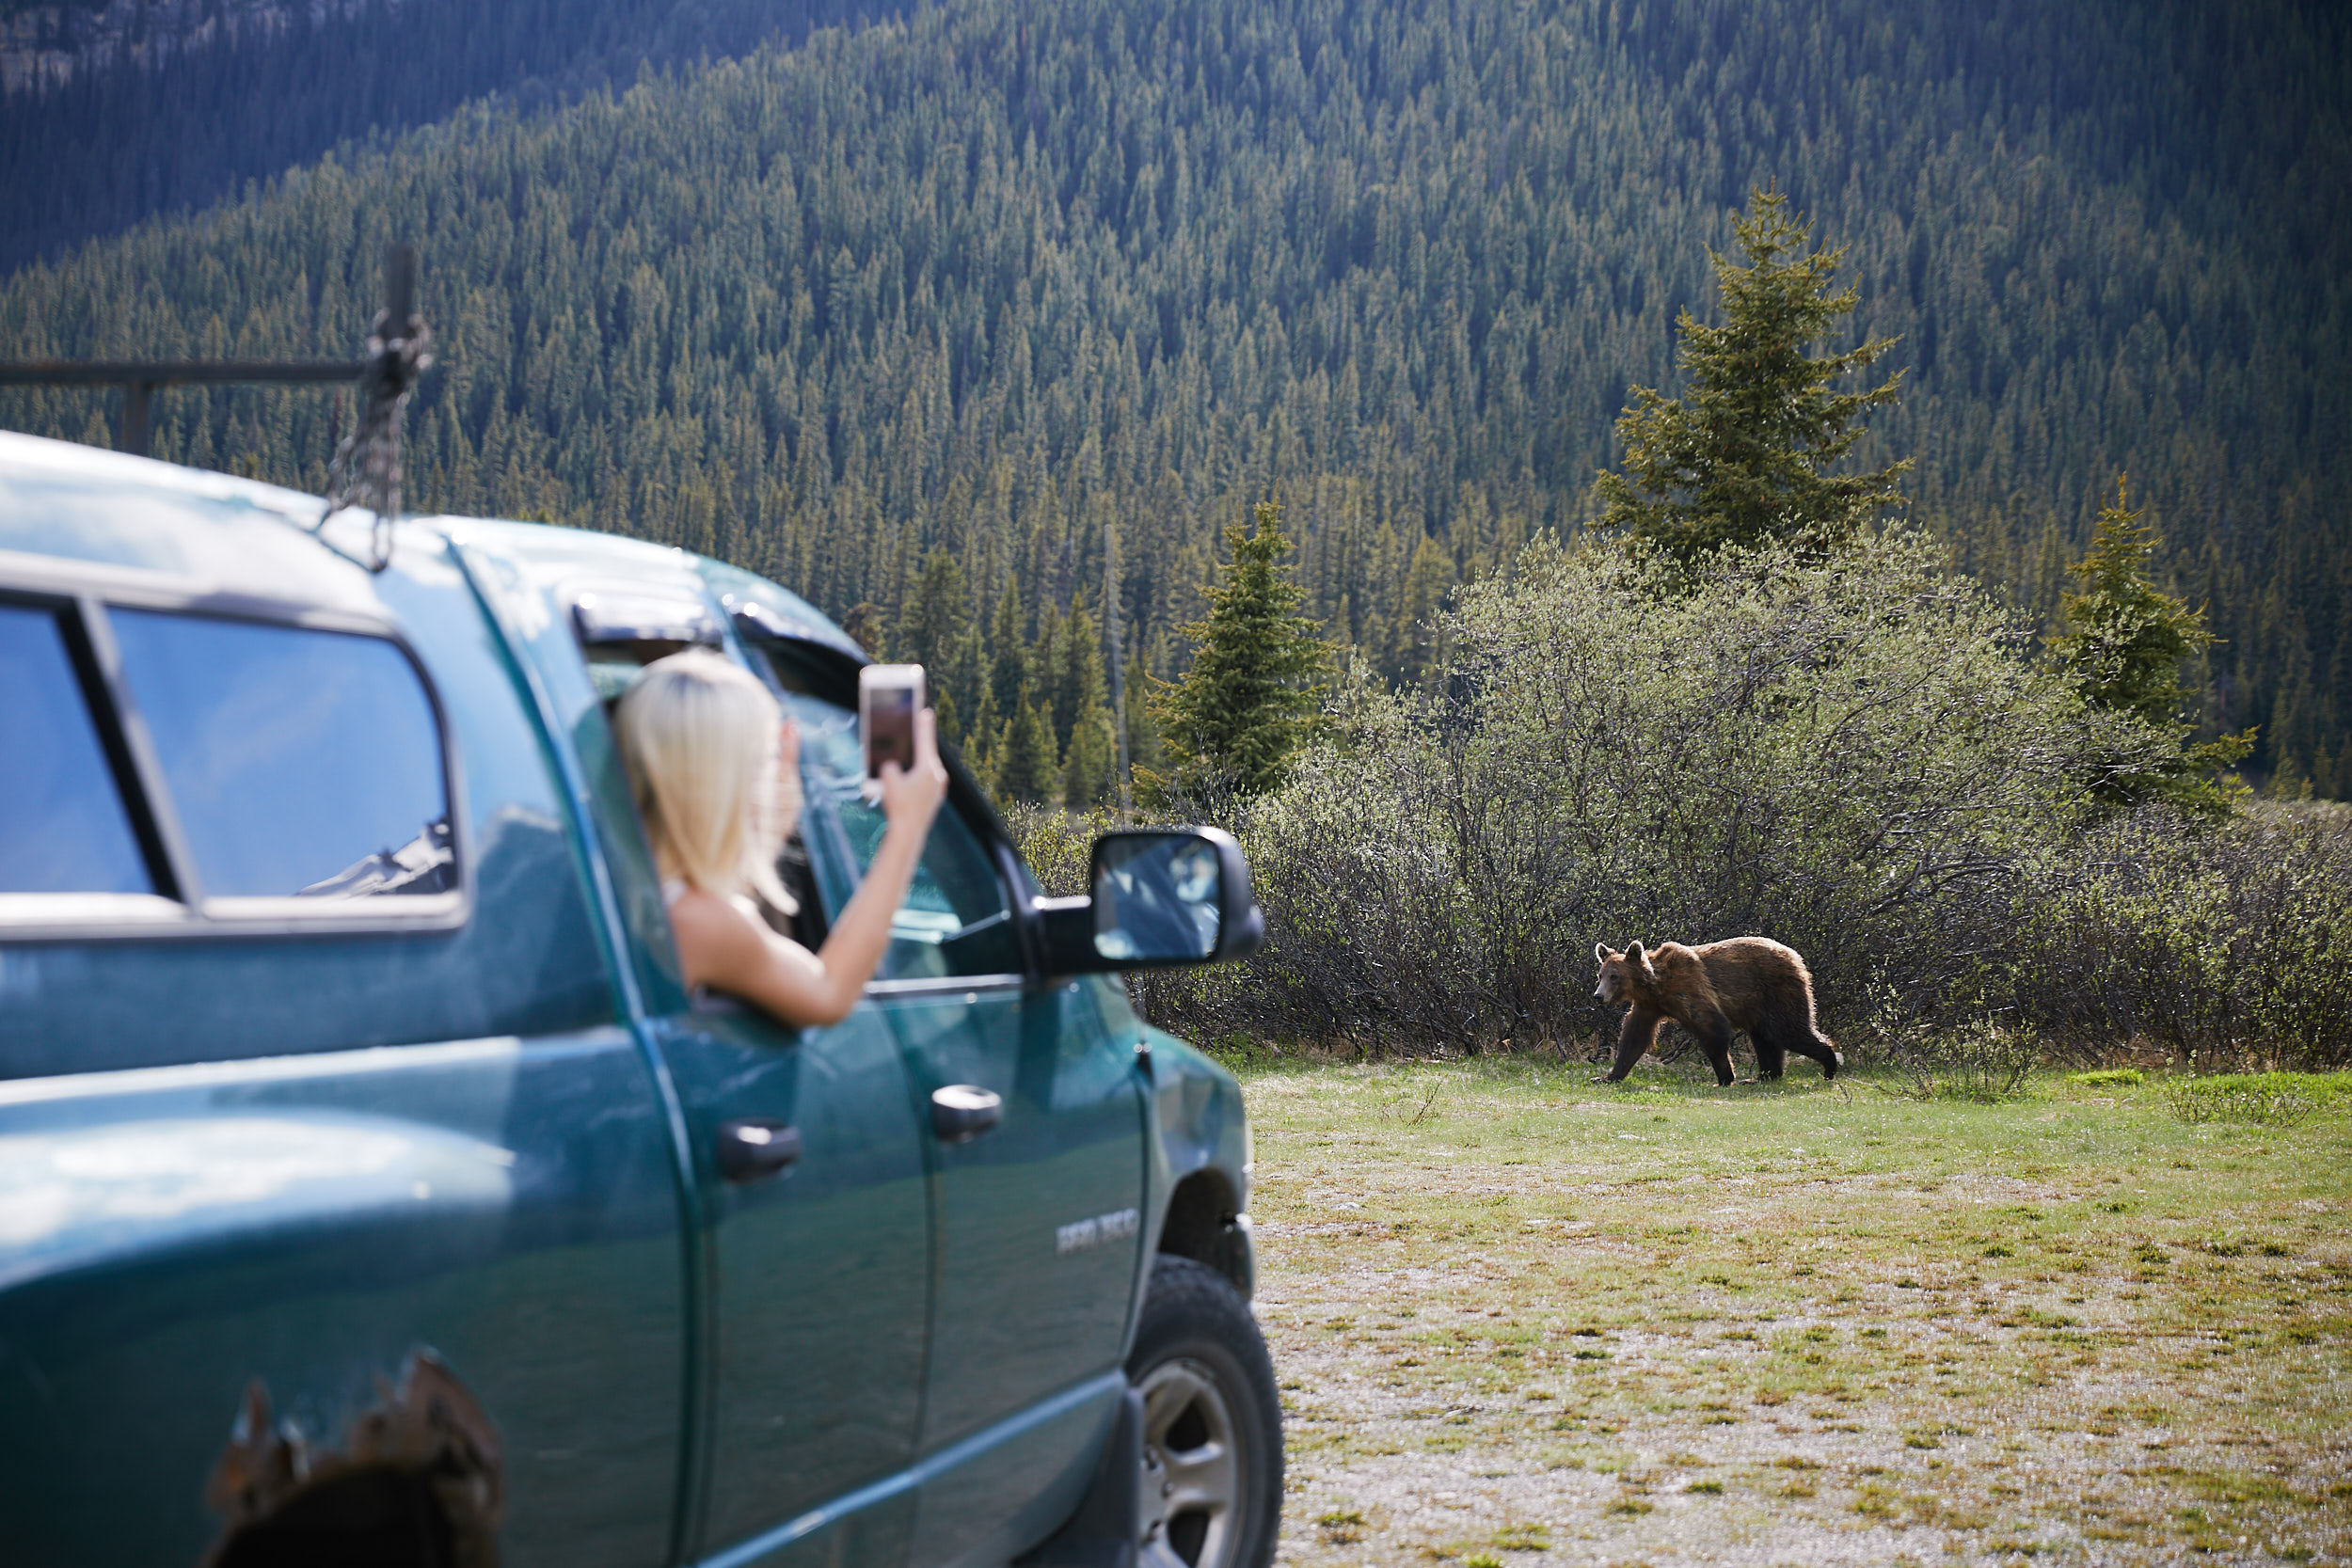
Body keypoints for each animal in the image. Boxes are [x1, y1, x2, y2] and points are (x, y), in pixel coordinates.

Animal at [1590, 940, 1844, 1085]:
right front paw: (1607, 1076)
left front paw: (1724, 1077)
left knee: (1788, 1030)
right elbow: (1634, 1037)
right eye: (1601, 975)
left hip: (1777, 990)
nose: (1598, 996)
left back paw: (1829, 1066)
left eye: (1615, 976)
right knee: (1765, 1037)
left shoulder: (1688, 987)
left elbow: (1712, 1028)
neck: (1656, 984)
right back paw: (1762, 1076)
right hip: (1759, 1005)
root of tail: (1795, 956)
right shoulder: (1649, 1006)